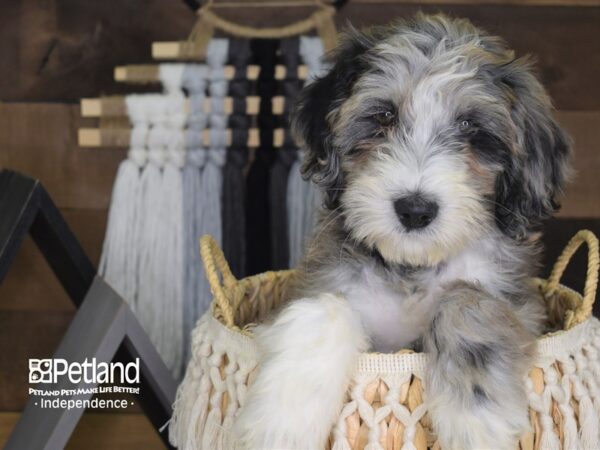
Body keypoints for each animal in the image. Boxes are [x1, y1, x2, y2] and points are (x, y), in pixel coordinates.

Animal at [234, 13, 572, 450]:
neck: (413, 267)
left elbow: (468, 300)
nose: (415, 210)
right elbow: (325, 308)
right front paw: (281, 422)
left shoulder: (523, 308)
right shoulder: (316, 285)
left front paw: (477, 417)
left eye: (470, 127)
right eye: (383, 117)